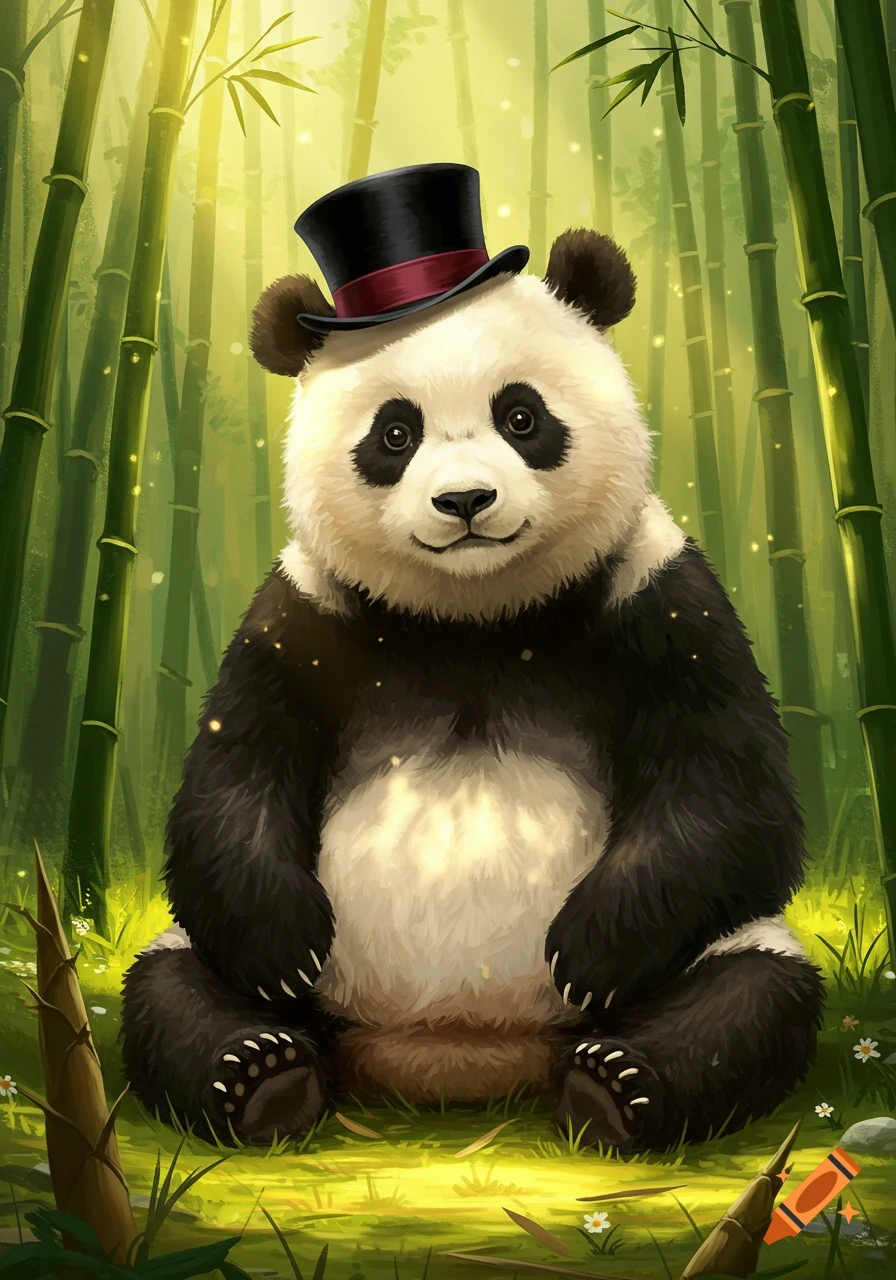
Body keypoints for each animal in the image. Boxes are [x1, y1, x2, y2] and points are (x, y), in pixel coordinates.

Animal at [121, 221, 824, 1154]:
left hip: (714, 955)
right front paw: (282, 944)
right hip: (271, 980)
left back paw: (615, 1085)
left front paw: (593, 951)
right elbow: (234, 776)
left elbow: (733, 795)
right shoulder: (300, 616)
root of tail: (457, 1056)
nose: (465, 500)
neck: (475, 617)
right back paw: (263, 1076)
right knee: (171, 986)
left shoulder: (659, 598)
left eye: (520, 416)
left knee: (754, 988)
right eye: (394, 433)